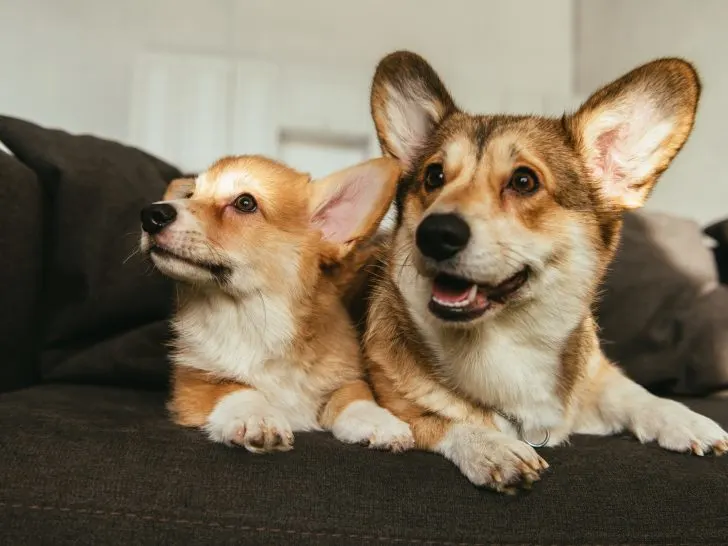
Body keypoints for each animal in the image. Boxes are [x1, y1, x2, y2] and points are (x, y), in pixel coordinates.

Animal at [139, 155, 412, 452]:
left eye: (245, 203)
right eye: (190, 195)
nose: (151, 215)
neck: (253, 318)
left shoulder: (344, 376)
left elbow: (355, 395)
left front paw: (380, 422)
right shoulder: (193, 380)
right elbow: (234, 388)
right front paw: (257, 417)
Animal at [364, 53, 728, 490]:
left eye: (524, 181)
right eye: (433, 176)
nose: (434, 234)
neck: (509, 344)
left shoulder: (600, 377)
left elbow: (636, 394)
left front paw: (686, 420)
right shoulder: (394, 400)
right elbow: (439, 420)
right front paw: (493, 447)